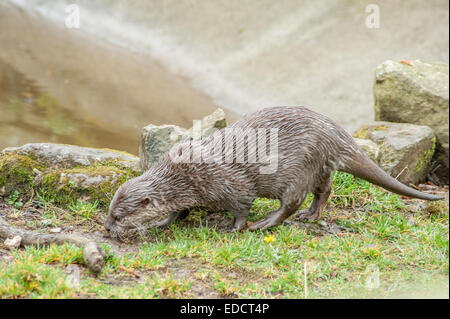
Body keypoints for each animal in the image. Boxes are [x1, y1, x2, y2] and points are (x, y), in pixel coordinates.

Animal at [104, 107, 442, 238]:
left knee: (291, 202)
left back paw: (264, 223)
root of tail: (335, 133)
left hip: (298, 170)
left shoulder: (230, 184)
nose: (107, 228)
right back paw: (312, 215)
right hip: (319, 166)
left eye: (119, 216)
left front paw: (233, 227)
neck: (184, 176)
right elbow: (180, 211)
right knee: (325, 190)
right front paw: (163, 221)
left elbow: (241, 206)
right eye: (110, 211)